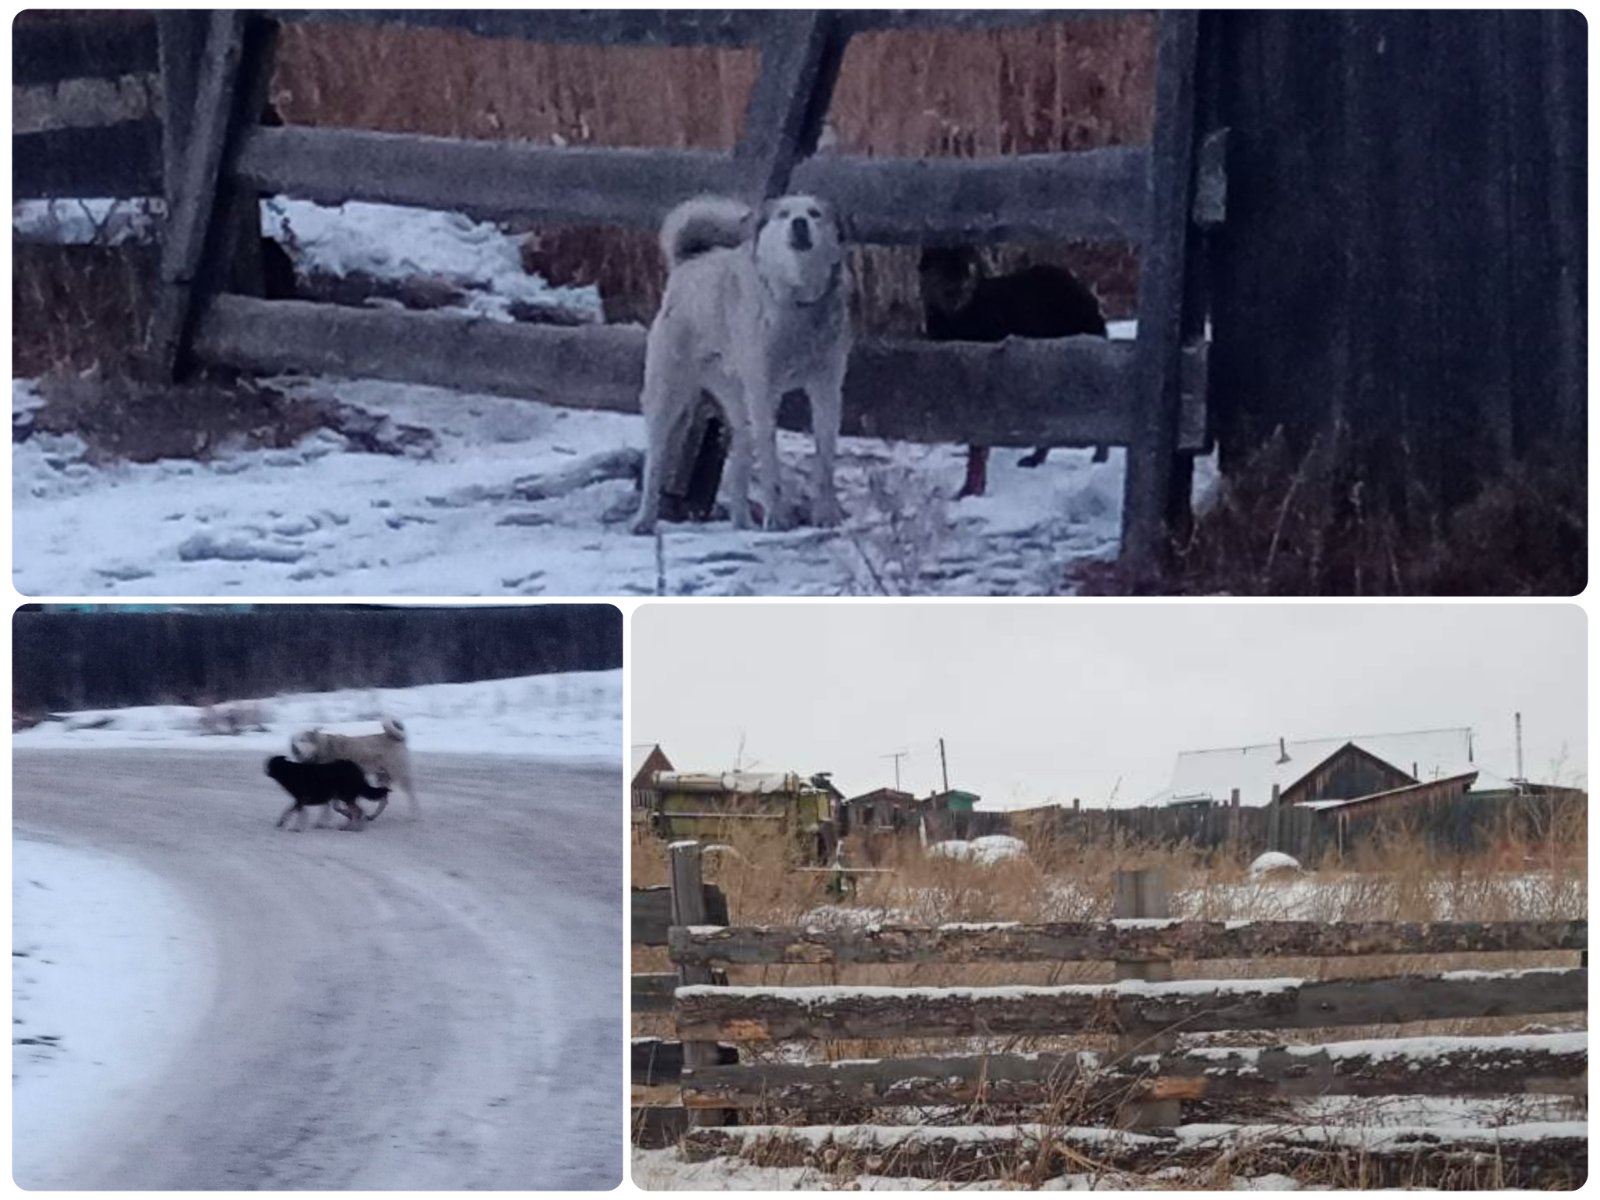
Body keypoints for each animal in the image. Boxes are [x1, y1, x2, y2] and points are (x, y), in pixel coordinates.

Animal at [291, 720, 419, 825]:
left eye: (303, 740)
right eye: (293, 742)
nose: (295, 749)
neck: (321, 748)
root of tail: (397, 737)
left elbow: (332, 807)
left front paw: (324, 821)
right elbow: (334, 807)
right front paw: (347, 815)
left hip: (400, 774)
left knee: (411, 796)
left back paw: (415, 815)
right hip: (382, 777)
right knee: (384, 801)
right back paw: (372, 816)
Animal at [627, 195, 851, 534]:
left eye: (815, 214)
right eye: (783, 214)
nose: (799, 223)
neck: (797, 303)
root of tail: (689, 263)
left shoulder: (826, 389)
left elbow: (824, 459)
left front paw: (827, 515)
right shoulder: (764, 392)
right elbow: (770, 462)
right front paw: (778, 518)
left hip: (737, 399)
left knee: (741, 460)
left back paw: (742, 522)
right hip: (667, 392)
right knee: (655, 458)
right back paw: (645, 519)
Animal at [921, 246, 1107, 499]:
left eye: (965, 266)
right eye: (941, 264)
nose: (959, 289)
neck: (958, 316)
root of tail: (1082, 288)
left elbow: (978, 447)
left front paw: (972, 490)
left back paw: (1100, 457)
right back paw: (1037, 459)